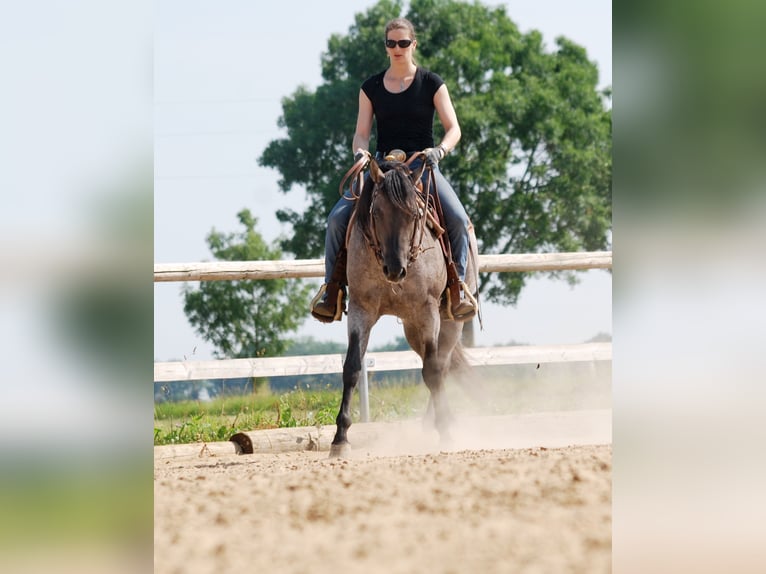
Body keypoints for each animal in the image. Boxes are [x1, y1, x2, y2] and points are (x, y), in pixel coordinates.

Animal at [329, 155, 480, 458]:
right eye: (376, 213)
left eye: (414, 216)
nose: (395, 269)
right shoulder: (361, 310)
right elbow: (351, 367)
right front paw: (340, 438)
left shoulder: (428, 311)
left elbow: (432, 371)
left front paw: (446, 432)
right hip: (412, 328)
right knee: (436, 363)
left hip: (449, 323)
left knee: (441, 364)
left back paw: (438, 423)